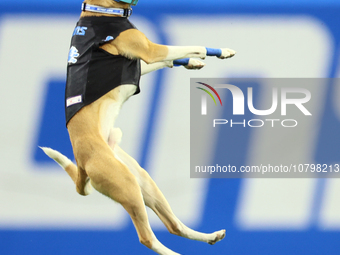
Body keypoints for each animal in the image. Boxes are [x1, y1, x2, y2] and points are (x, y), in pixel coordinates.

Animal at [40, 0, 236, 255]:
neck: (101, 11)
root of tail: (82, 162)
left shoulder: (137, 64)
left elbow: (171, 59)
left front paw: (194, 61)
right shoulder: (151, 51)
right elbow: (191, 47)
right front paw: (216, 52)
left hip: (142, 179)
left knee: (173, 225)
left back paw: (209, 236)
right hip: (128, 186)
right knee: (146, 237)